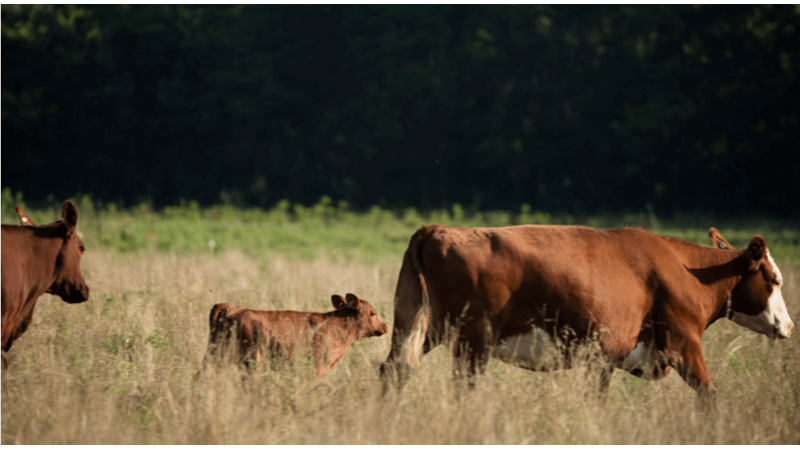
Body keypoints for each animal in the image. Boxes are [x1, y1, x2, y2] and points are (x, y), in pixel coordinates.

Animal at [200, 294, 388, 382]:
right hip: (252, 360)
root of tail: (231, 308)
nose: (385, 326)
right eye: (372, 313)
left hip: (216, 355)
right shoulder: (318, 367)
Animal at [382, 223, 792, 402]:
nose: (789, 325)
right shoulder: (683, 342)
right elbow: (709, 394)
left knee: (394, 369)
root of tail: (439, 229)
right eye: (774, 279)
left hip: (418, 326)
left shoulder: (604, 358)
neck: (687, 269)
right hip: (472, 340)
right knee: (461, 388)